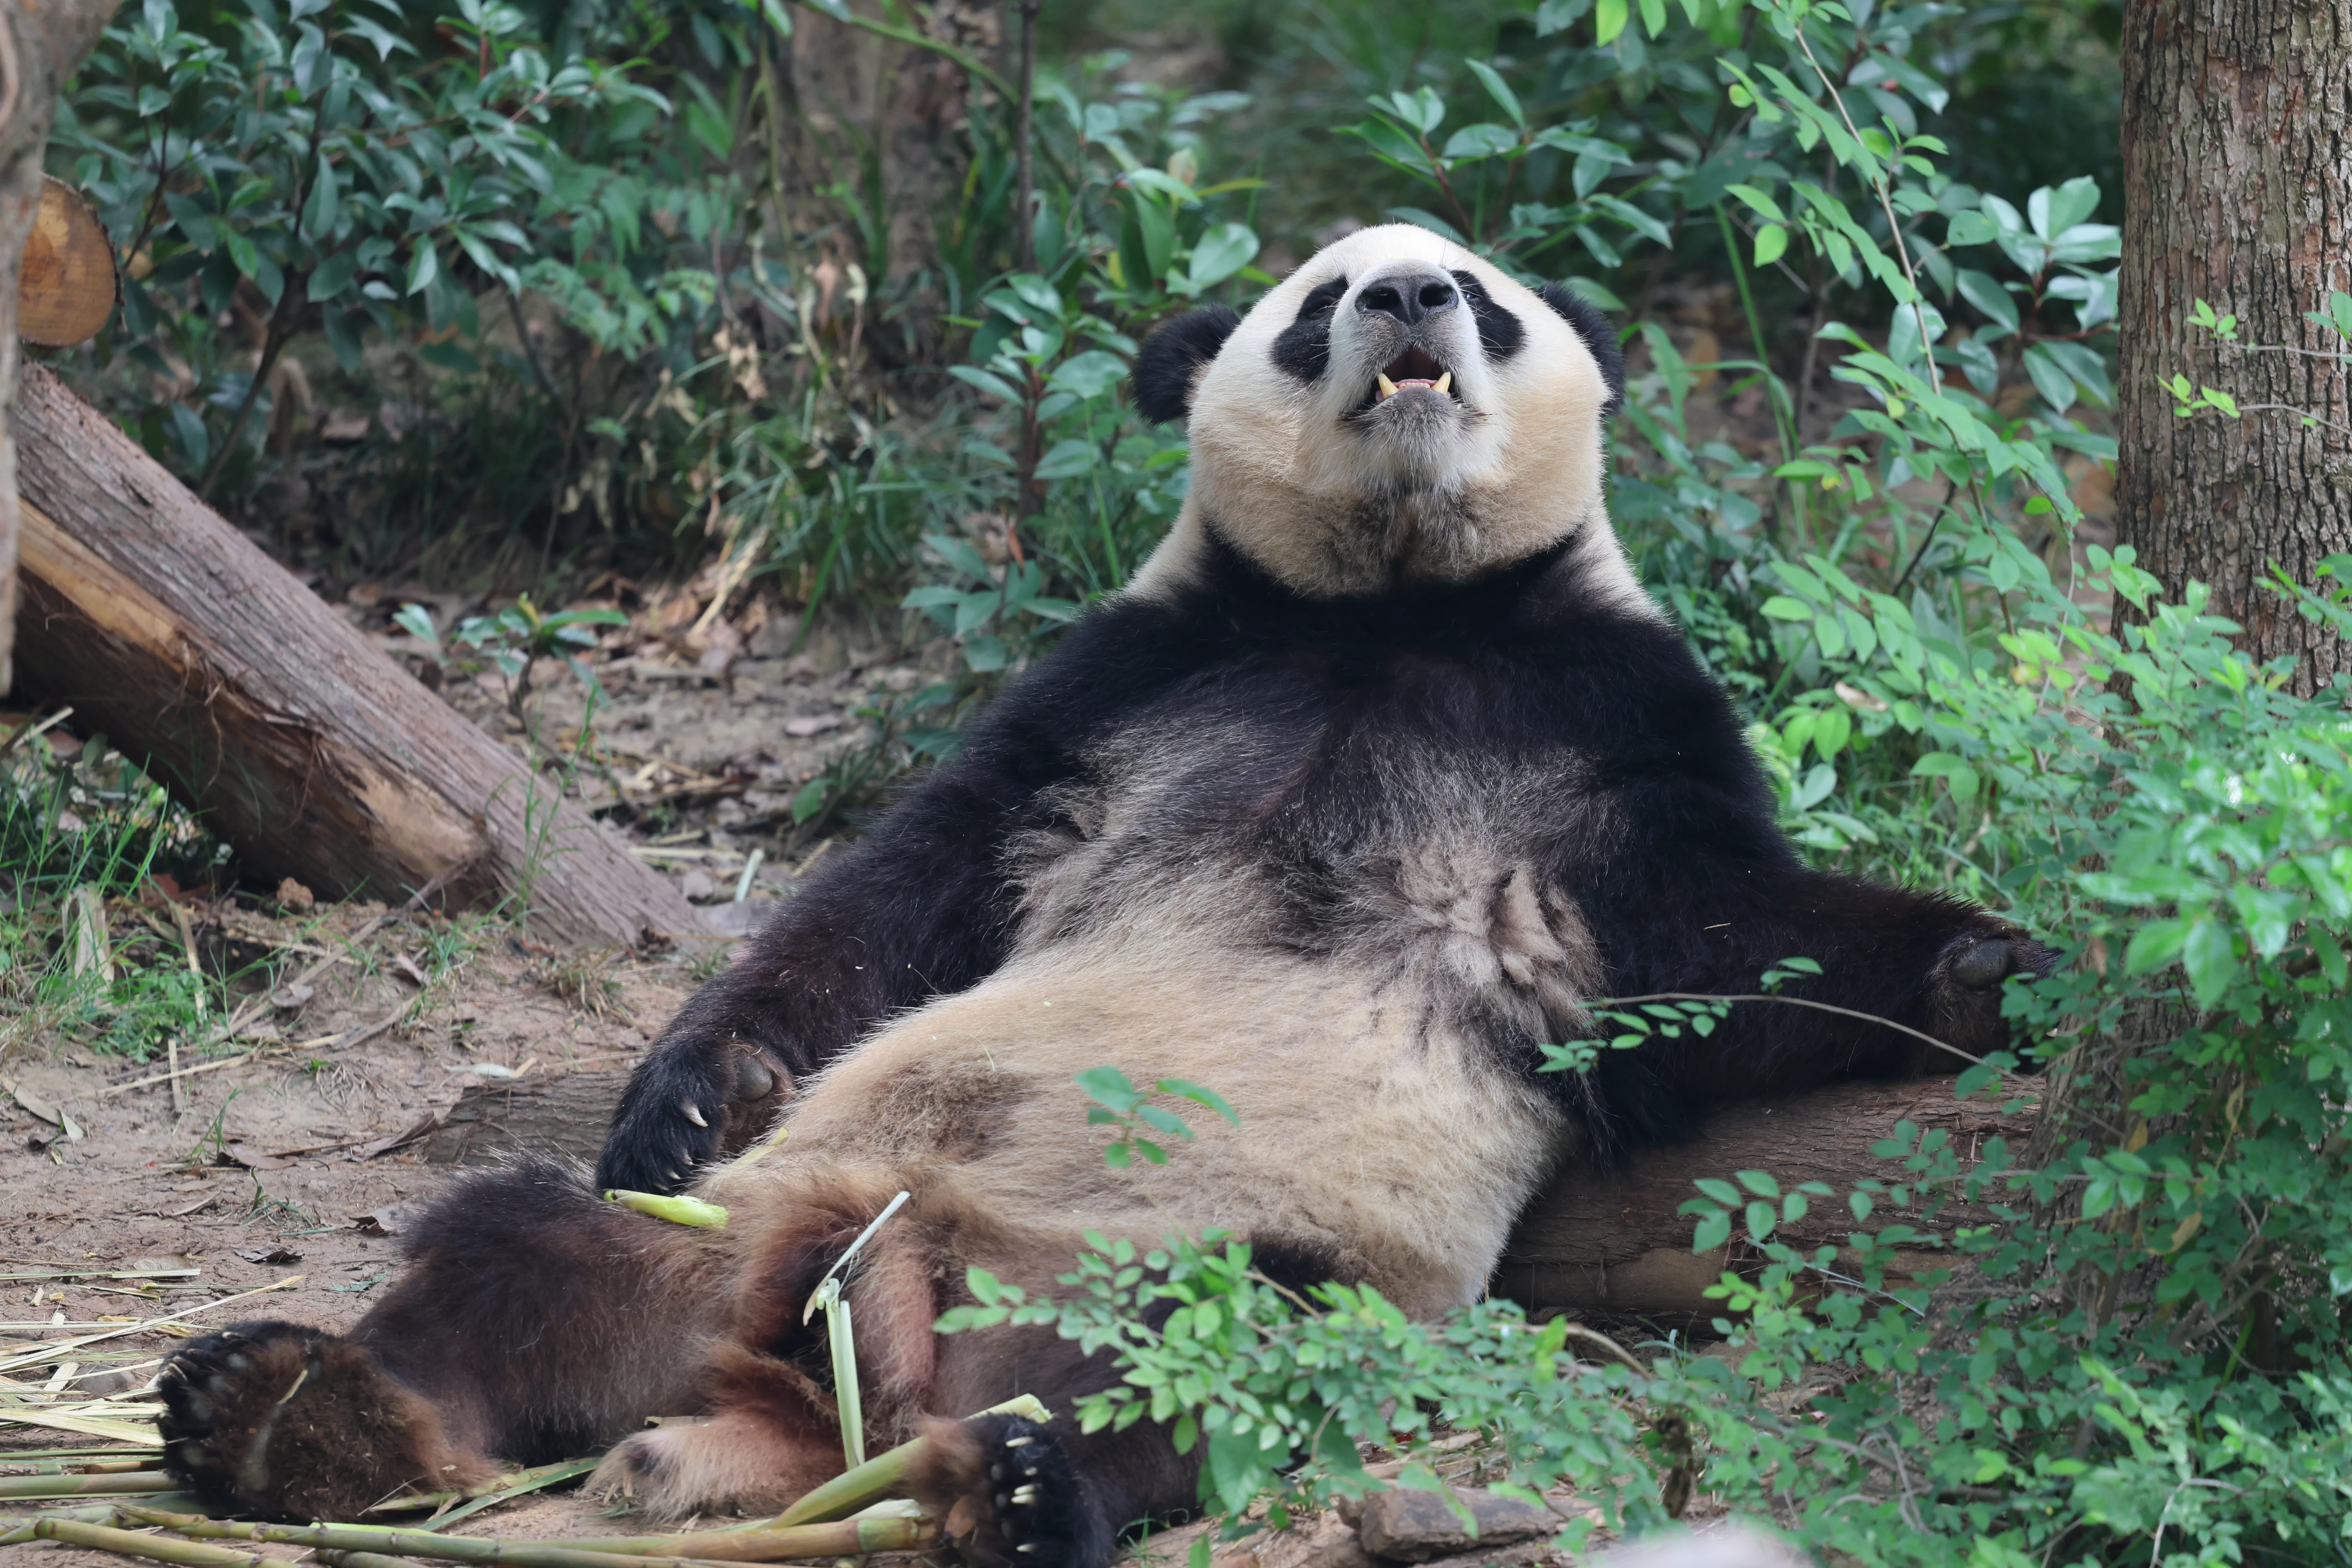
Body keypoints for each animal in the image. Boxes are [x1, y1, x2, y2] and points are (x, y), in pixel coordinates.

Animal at [156, 223, 2048, 1564]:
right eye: (1322, 302)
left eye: (1492, 303)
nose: (1416, 297)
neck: (1394, 606)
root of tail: (843, 1343)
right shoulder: (1128, 678)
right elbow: (906, 885)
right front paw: (696, 1084)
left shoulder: (1606, 718)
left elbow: (1724, 940)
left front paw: (1989, 968)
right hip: (717, 1238)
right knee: (512, 1246)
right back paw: (291, 1412)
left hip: (1221, 1257)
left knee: (1198, 1366)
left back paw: (1015, 1491)